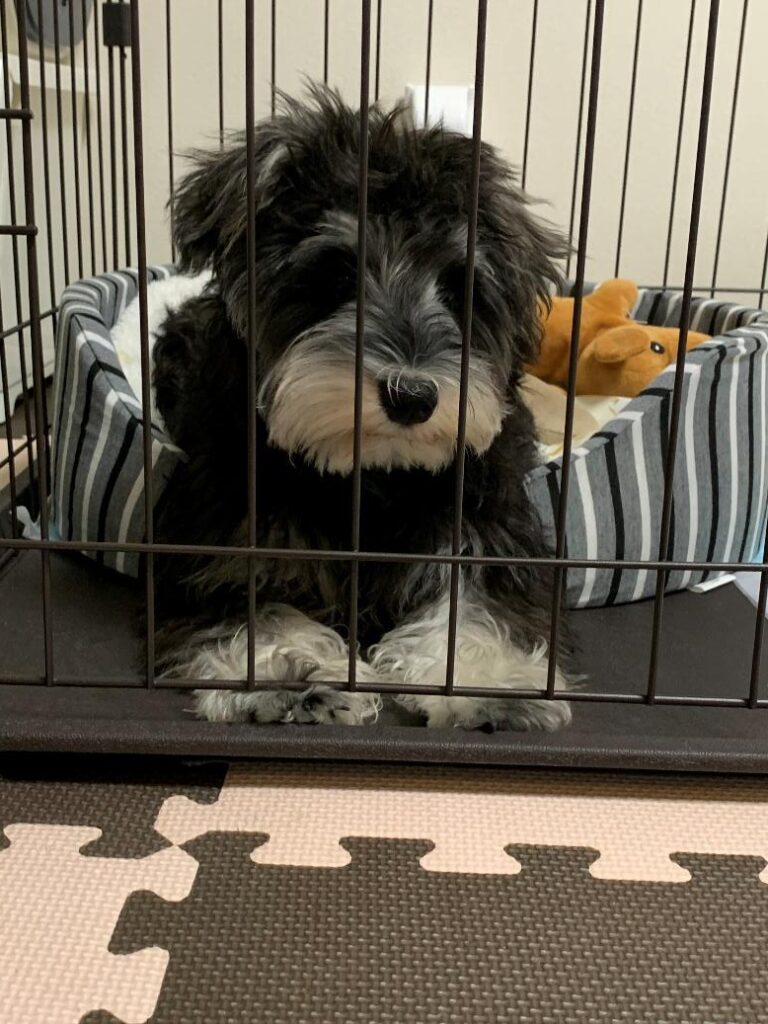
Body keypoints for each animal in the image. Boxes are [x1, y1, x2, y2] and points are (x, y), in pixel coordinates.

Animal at [150, 85, 573, 731]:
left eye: (459, 289)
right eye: (335, 274)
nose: (411, 396)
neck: (372, 477)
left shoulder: (484, 524)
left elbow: (475, 603)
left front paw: (490, 683)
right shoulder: (227, 537)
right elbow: (260, 603)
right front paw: (291, 671)